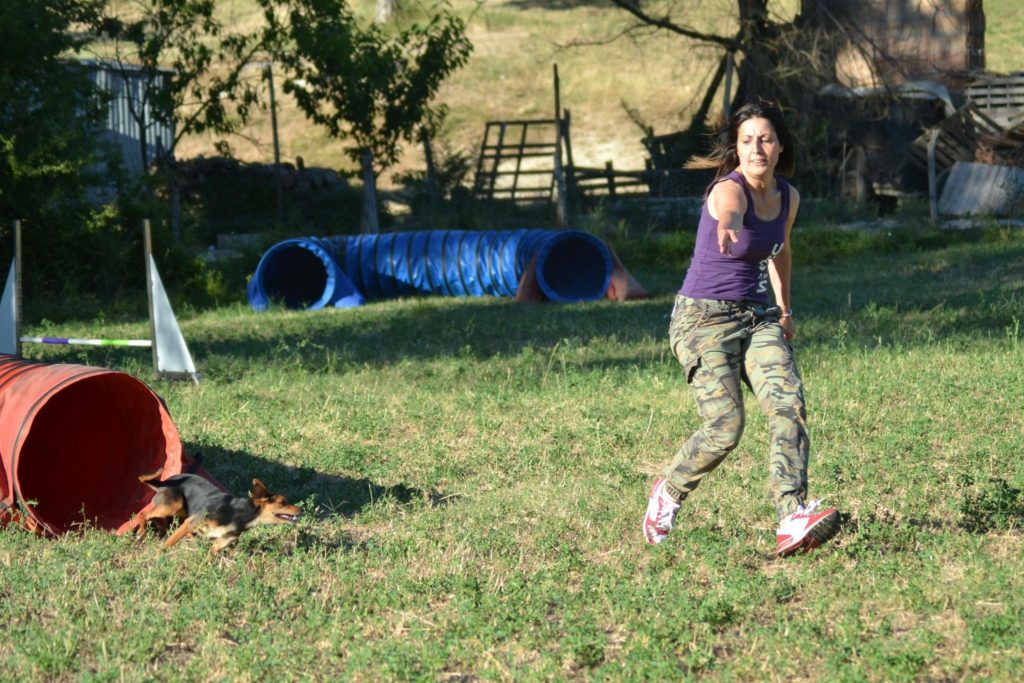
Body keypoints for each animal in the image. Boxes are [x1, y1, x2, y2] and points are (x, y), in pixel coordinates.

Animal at [135, 473, 299, 552]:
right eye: (283, 502)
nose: (301, 509)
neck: (238, 514)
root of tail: (164, 482)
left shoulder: (218, 545)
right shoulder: (192, 522)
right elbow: (167, 545)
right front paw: (158, 558)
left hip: (180, 510)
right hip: (175, 504)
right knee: (143, 514)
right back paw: (142, 532)